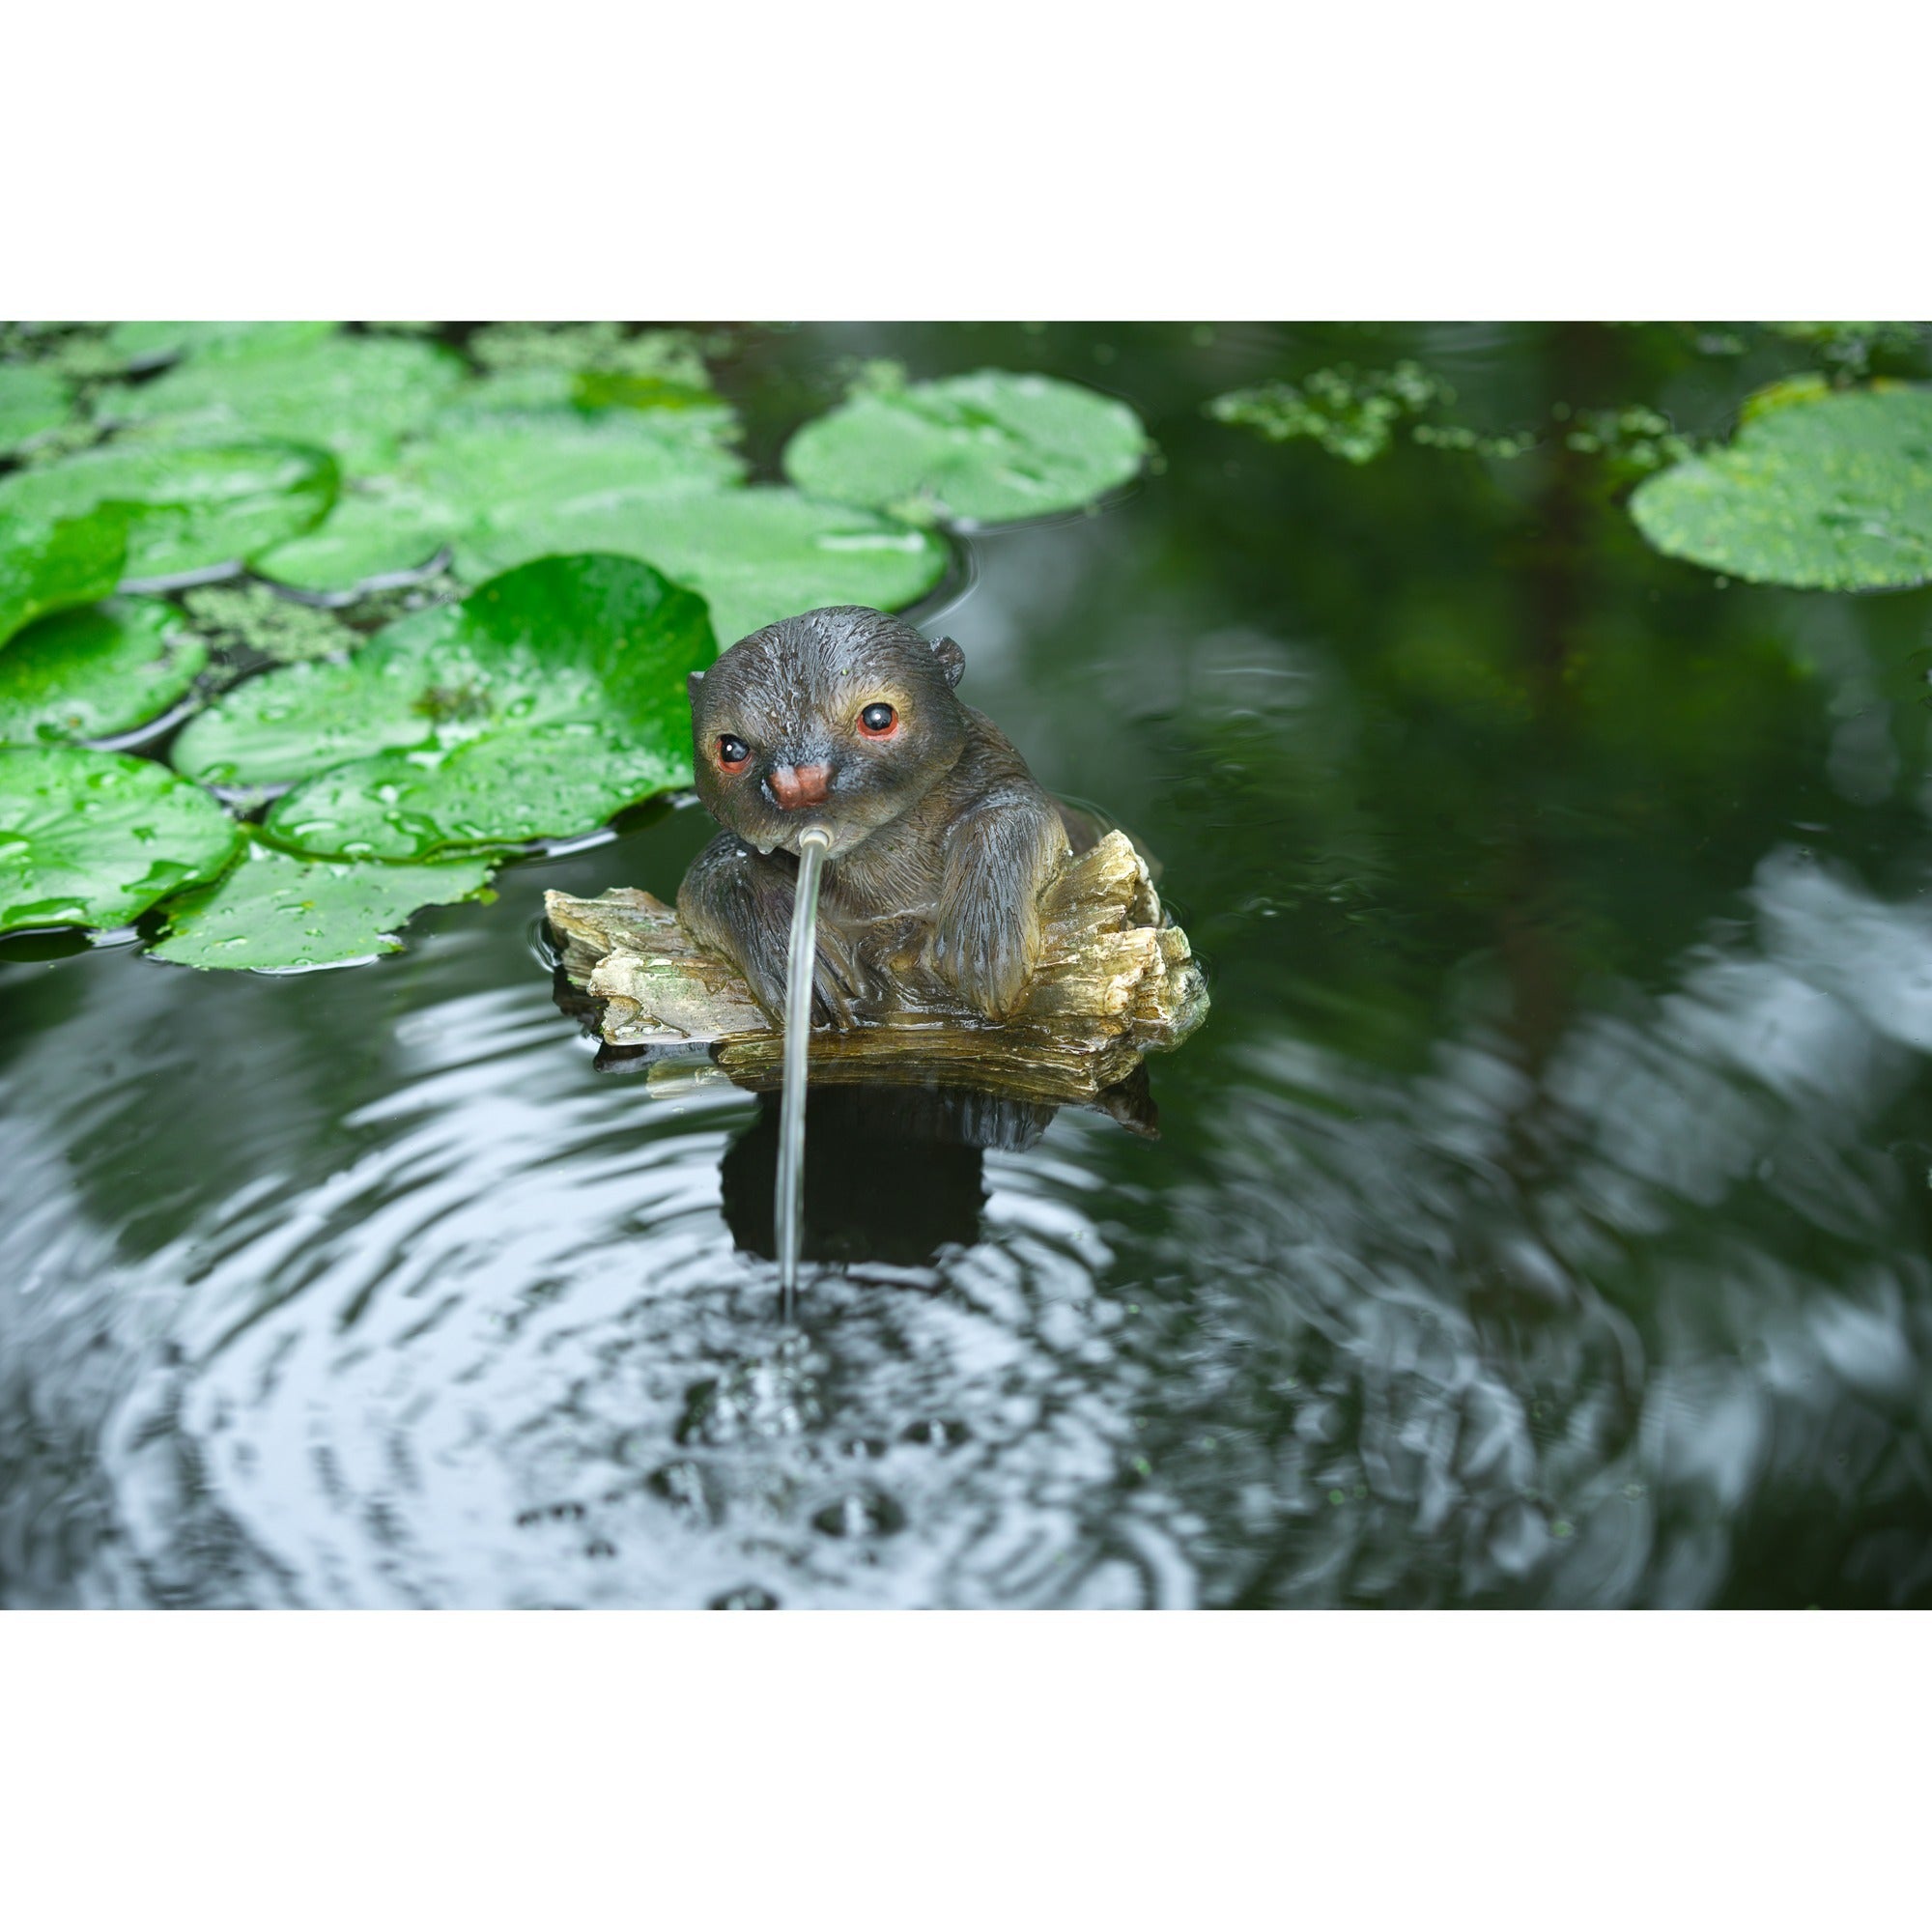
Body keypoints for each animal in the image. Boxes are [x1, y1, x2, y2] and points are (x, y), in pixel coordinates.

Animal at [677, 605, 1092, 1029]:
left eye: (878, 718)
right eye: (731, 749)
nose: (800, 784)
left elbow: (1011, 815)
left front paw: (983, 937)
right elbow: (716, 876)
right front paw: (793, 955)